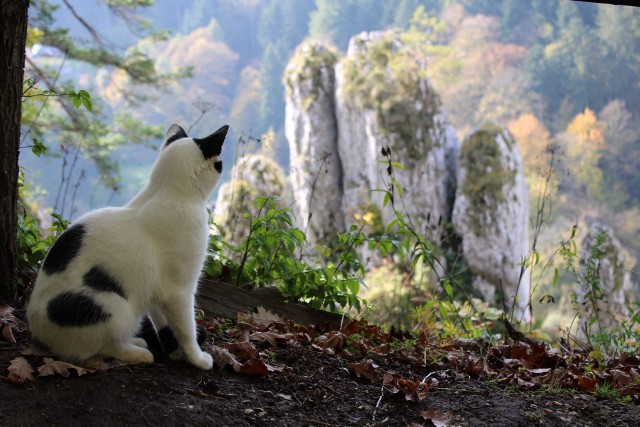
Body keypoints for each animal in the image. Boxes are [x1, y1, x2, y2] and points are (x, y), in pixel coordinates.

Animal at [26, 123, 229, 372]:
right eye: (220, 163)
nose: (223, 165)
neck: (165, 193)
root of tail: (38, 335)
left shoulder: (157, 290)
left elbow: (164, 324)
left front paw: (174, 351)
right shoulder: (179, 291)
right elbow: (186, 329)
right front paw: (197, 358)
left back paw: (137, 342)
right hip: (113, 306)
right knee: (99, 348)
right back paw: (138, 352)